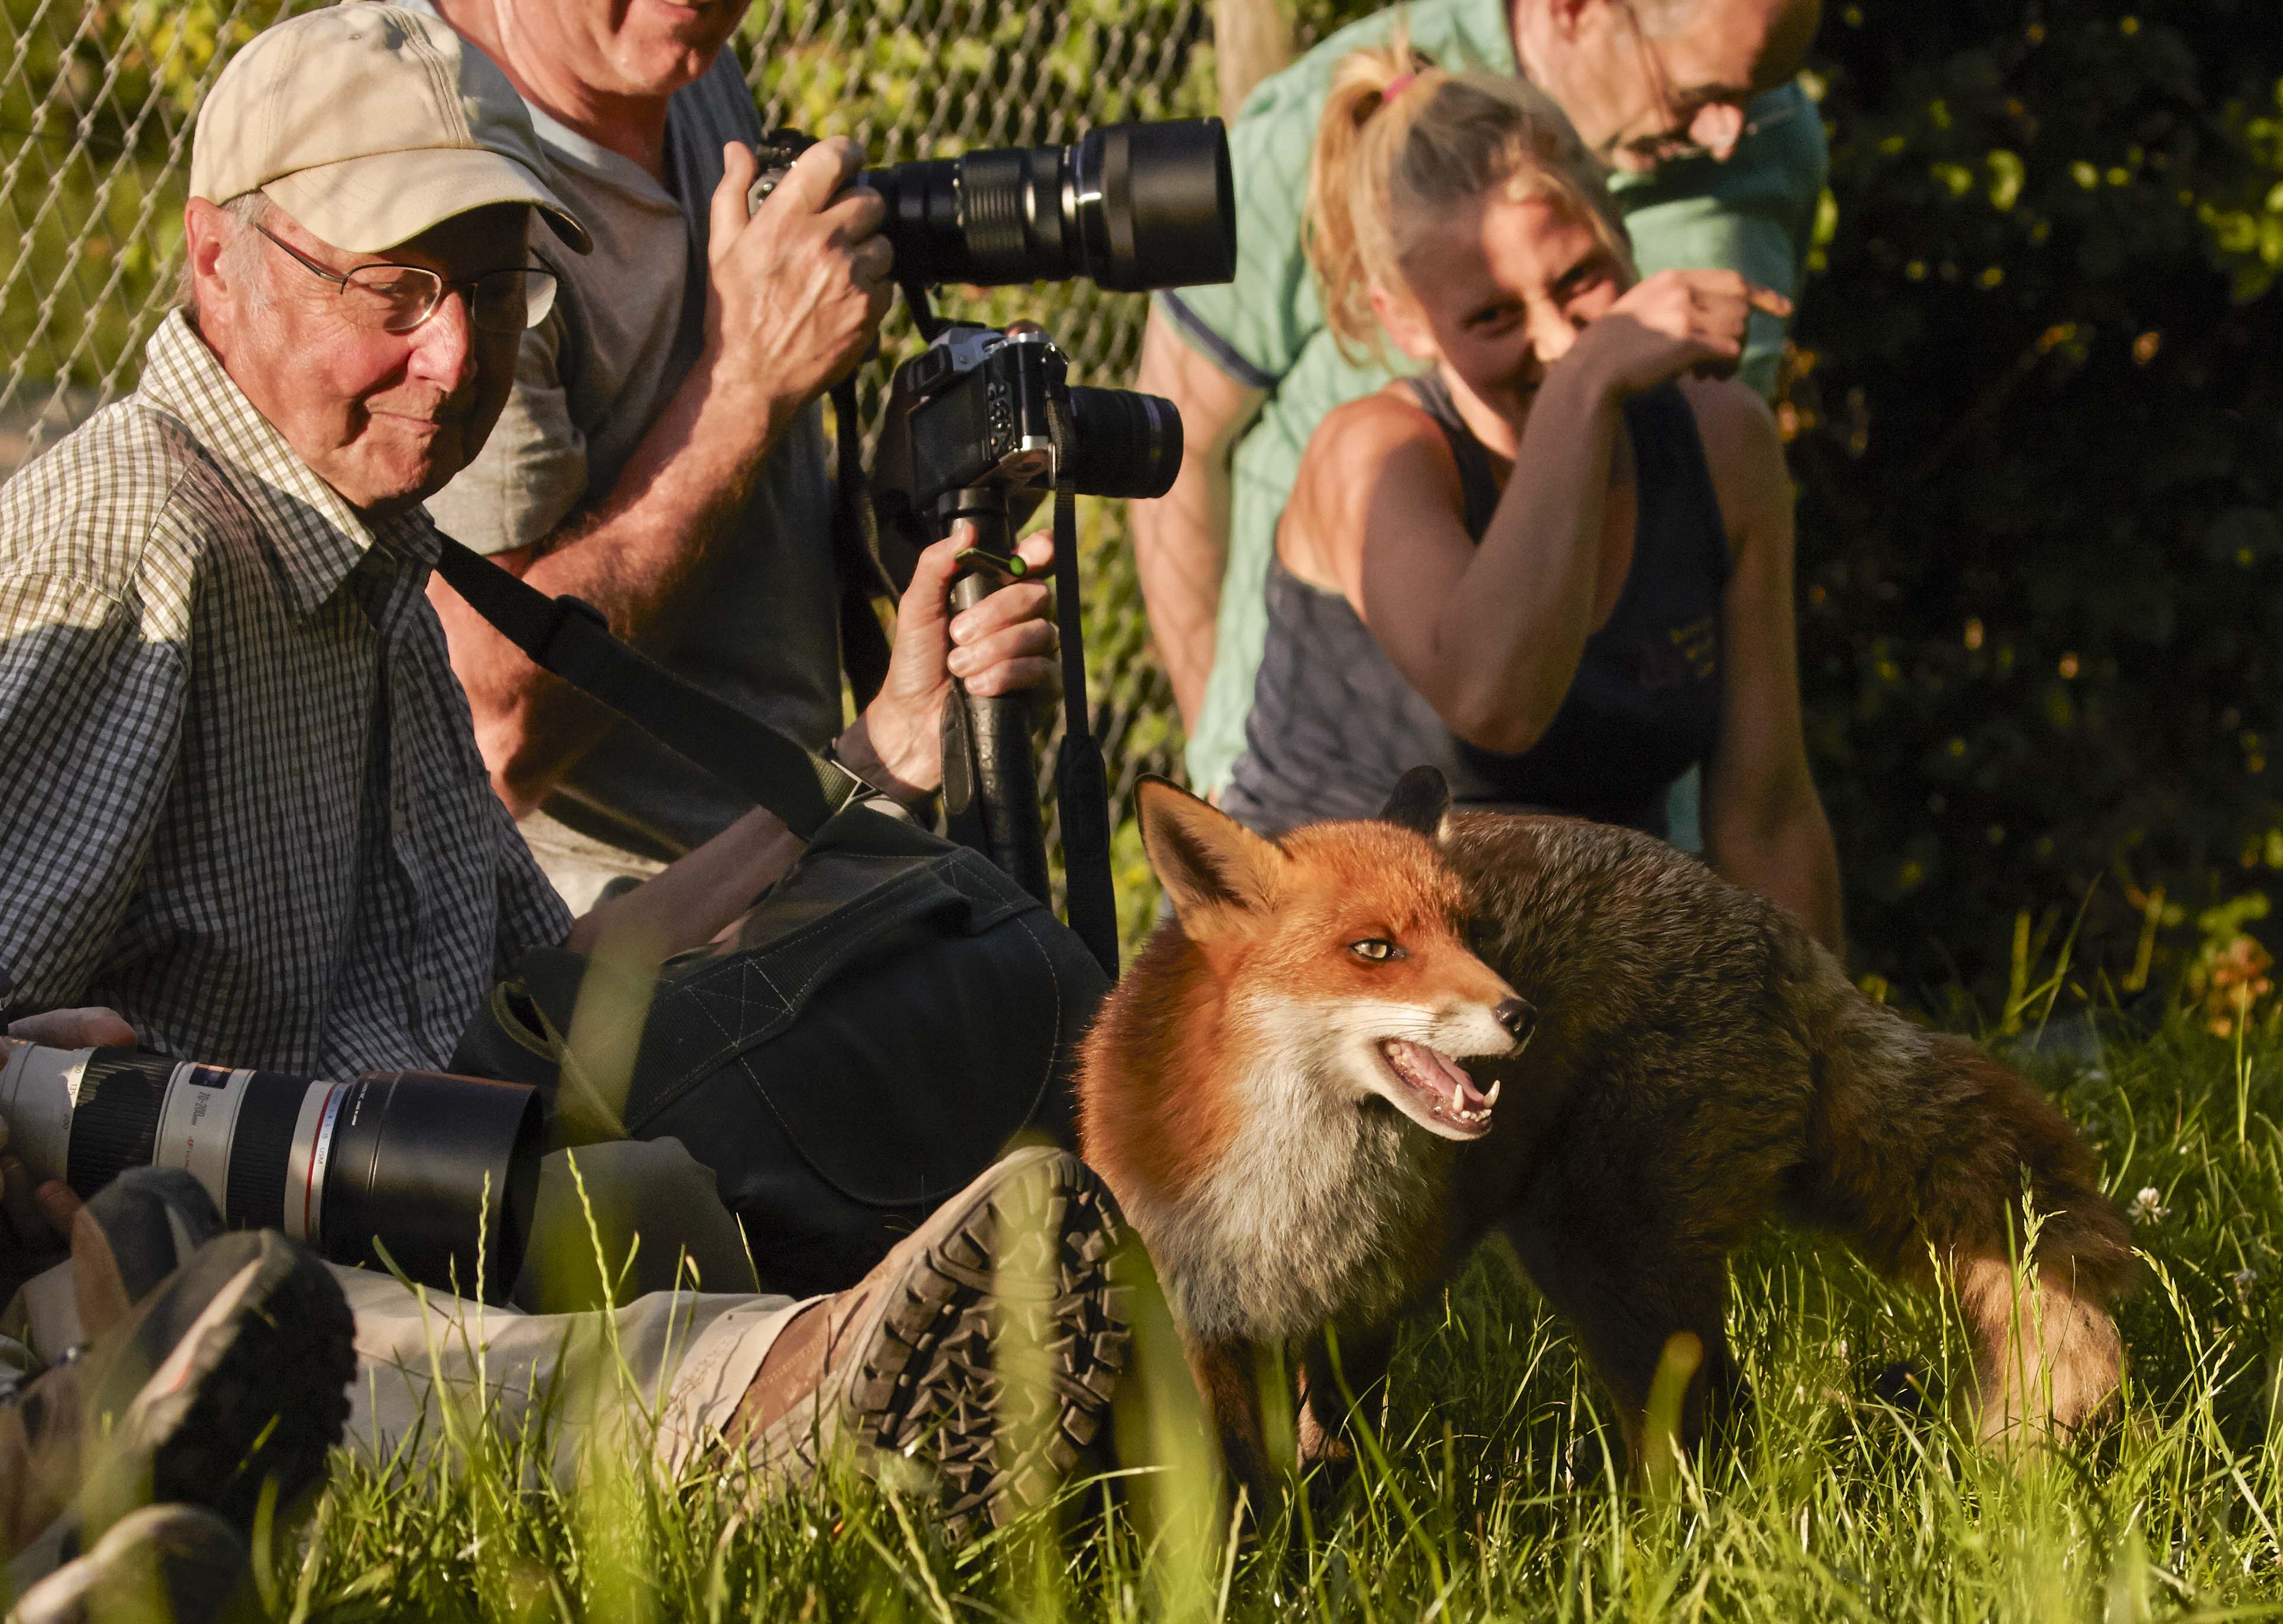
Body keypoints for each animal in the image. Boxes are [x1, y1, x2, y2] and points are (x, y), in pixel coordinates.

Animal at [1077, 767, 2128, 1507]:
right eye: (1375, 949)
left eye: (1474, 932)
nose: (1521, 1013)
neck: (1291, 1192)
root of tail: (1774, 930)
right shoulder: (1211, 1314)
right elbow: (1245, 1478)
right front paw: (1264, 1565)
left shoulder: (1368, 1309)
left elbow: (1329, 1451)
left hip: (1608, 1262)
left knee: (1712, 1430)